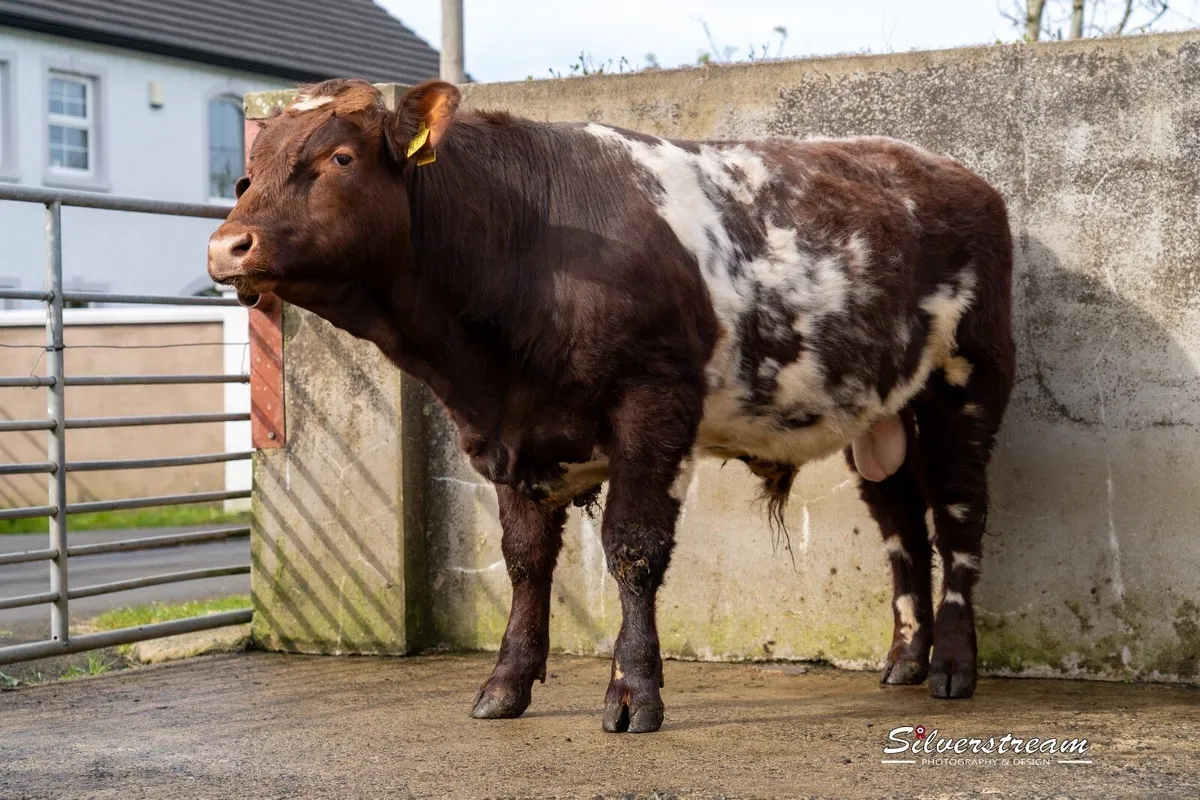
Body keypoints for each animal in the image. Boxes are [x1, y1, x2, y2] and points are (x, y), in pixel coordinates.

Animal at [208, 78, 1014, 734]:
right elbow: (526, 559)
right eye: (248, 171)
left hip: (969, 383)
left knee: (958, 515)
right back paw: (905, 657)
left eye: (340, 159)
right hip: (880, 415)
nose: (227, 246)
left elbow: (632, 549)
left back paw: (953, 665)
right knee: (900, 522)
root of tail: (951, 172)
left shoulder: (652, 404)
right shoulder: (505, 432)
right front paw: (506, 684)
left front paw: (632, 691)